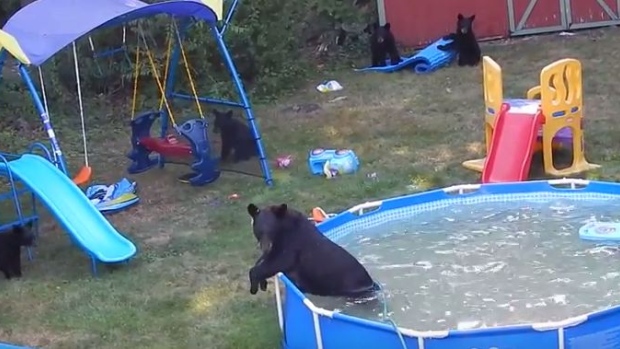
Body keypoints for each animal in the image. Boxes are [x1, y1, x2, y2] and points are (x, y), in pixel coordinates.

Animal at [246, 203, 376, 298]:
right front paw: (262, 283)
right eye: (259, 231)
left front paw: (254, 287)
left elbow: (278, 262)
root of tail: (372, 283)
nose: (265, 246)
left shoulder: (293, 245)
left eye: (272, 229)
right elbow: (264, 260)